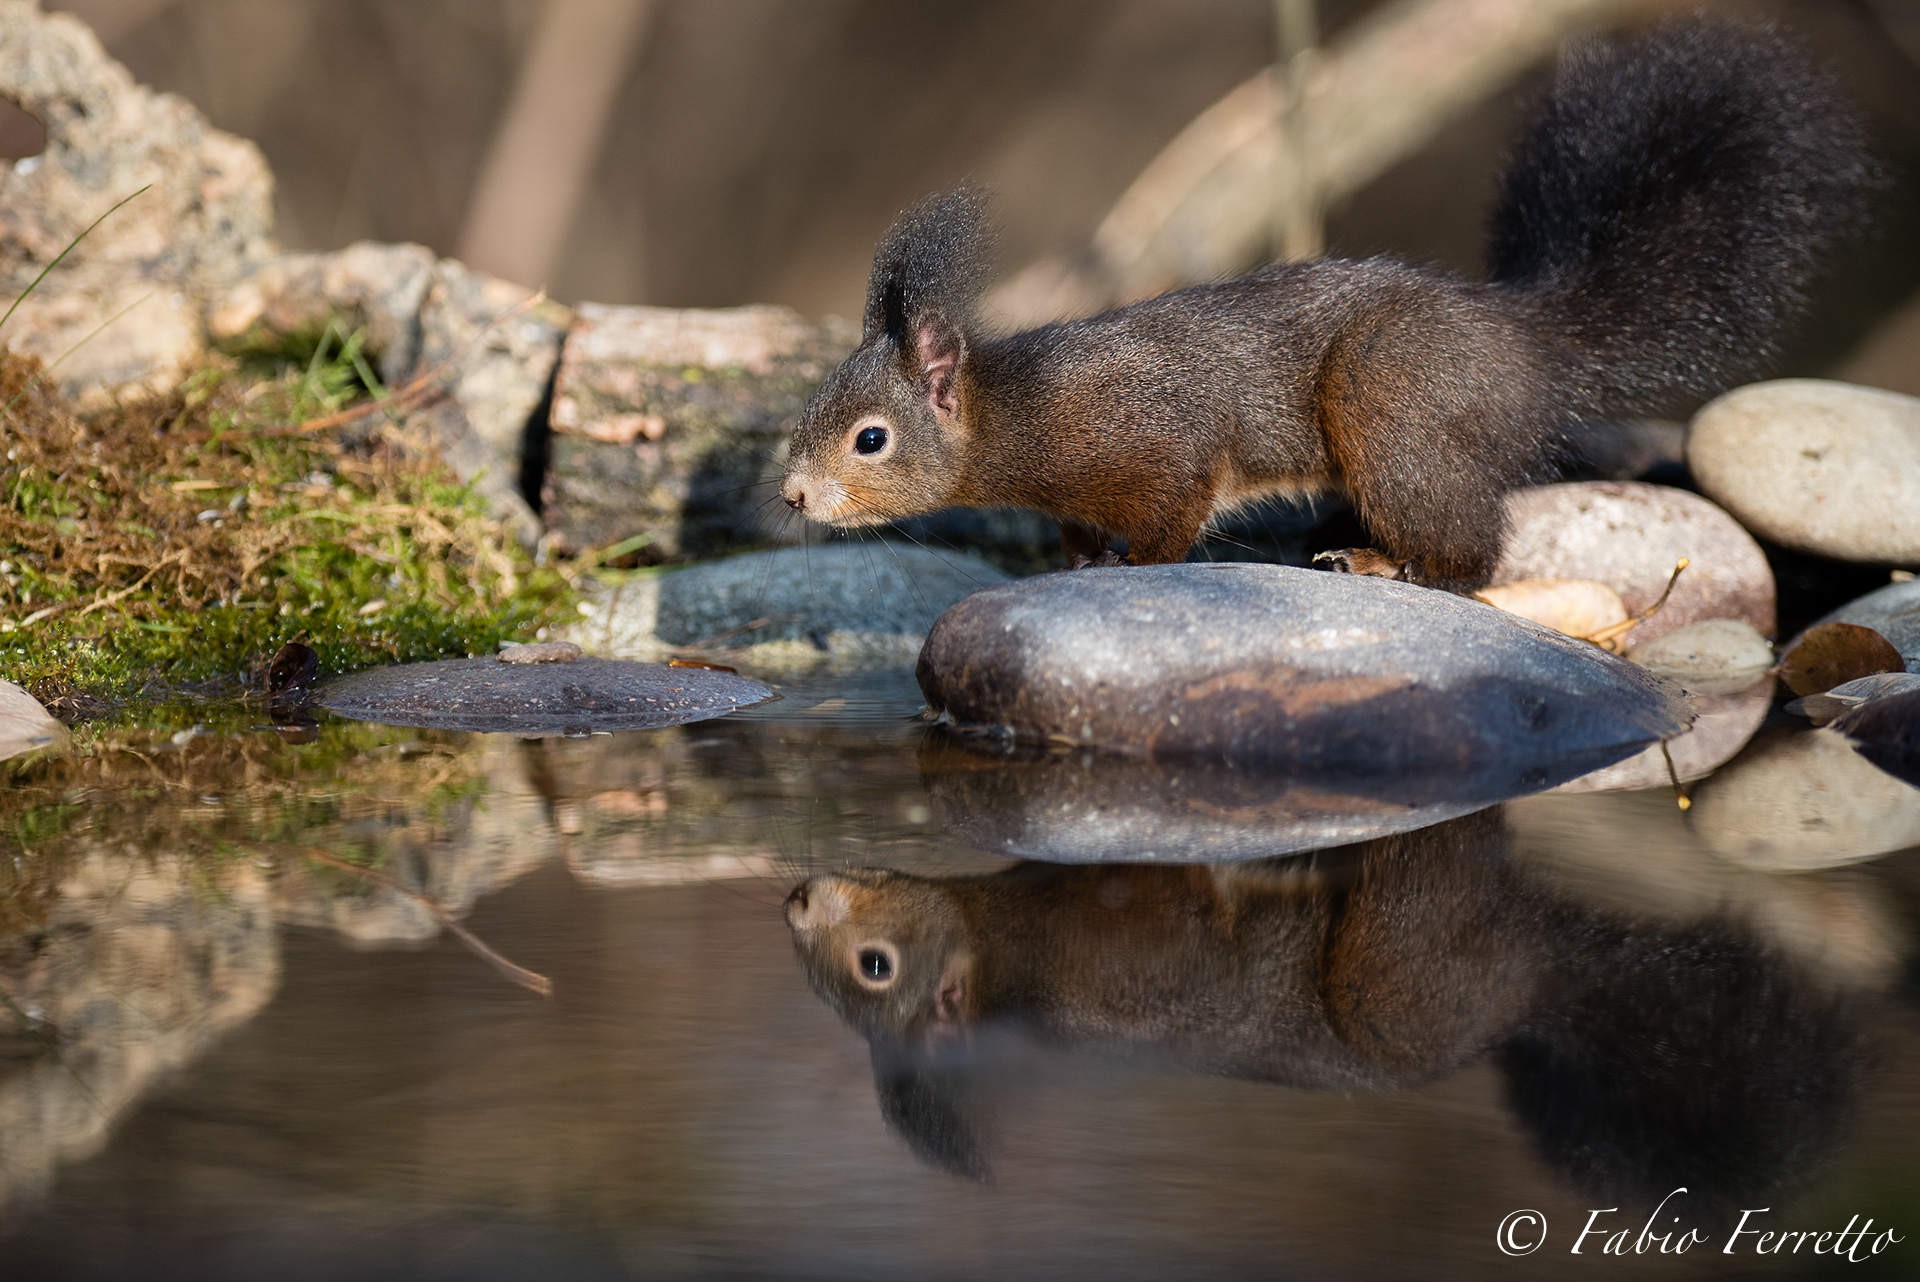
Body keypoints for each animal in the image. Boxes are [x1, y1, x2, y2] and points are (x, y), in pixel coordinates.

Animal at [778, 24, 1870, 591]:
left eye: (870, 439)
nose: (790, 497)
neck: (1026, 412)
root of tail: (1521, 339)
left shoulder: (1158, 437)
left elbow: (1176, 508)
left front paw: (1137, 567)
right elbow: (1076, 536)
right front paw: (1070, 568)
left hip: (1393, 400)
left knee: (1473, 556)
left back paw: (1387, 562)